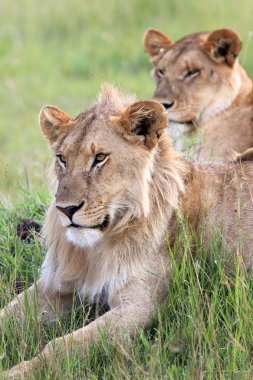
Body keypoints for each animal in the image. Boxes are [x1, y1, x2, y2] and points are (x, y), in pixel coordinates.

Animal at [0, 84, 253, 376]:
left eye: (99, 158)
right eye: (62, 159)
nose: (66, 209)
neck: (96, 248)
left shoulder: (141, 305)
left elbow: (64, 345)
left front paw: (15, 372)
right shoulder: (57, 285)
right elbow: (7, 316)